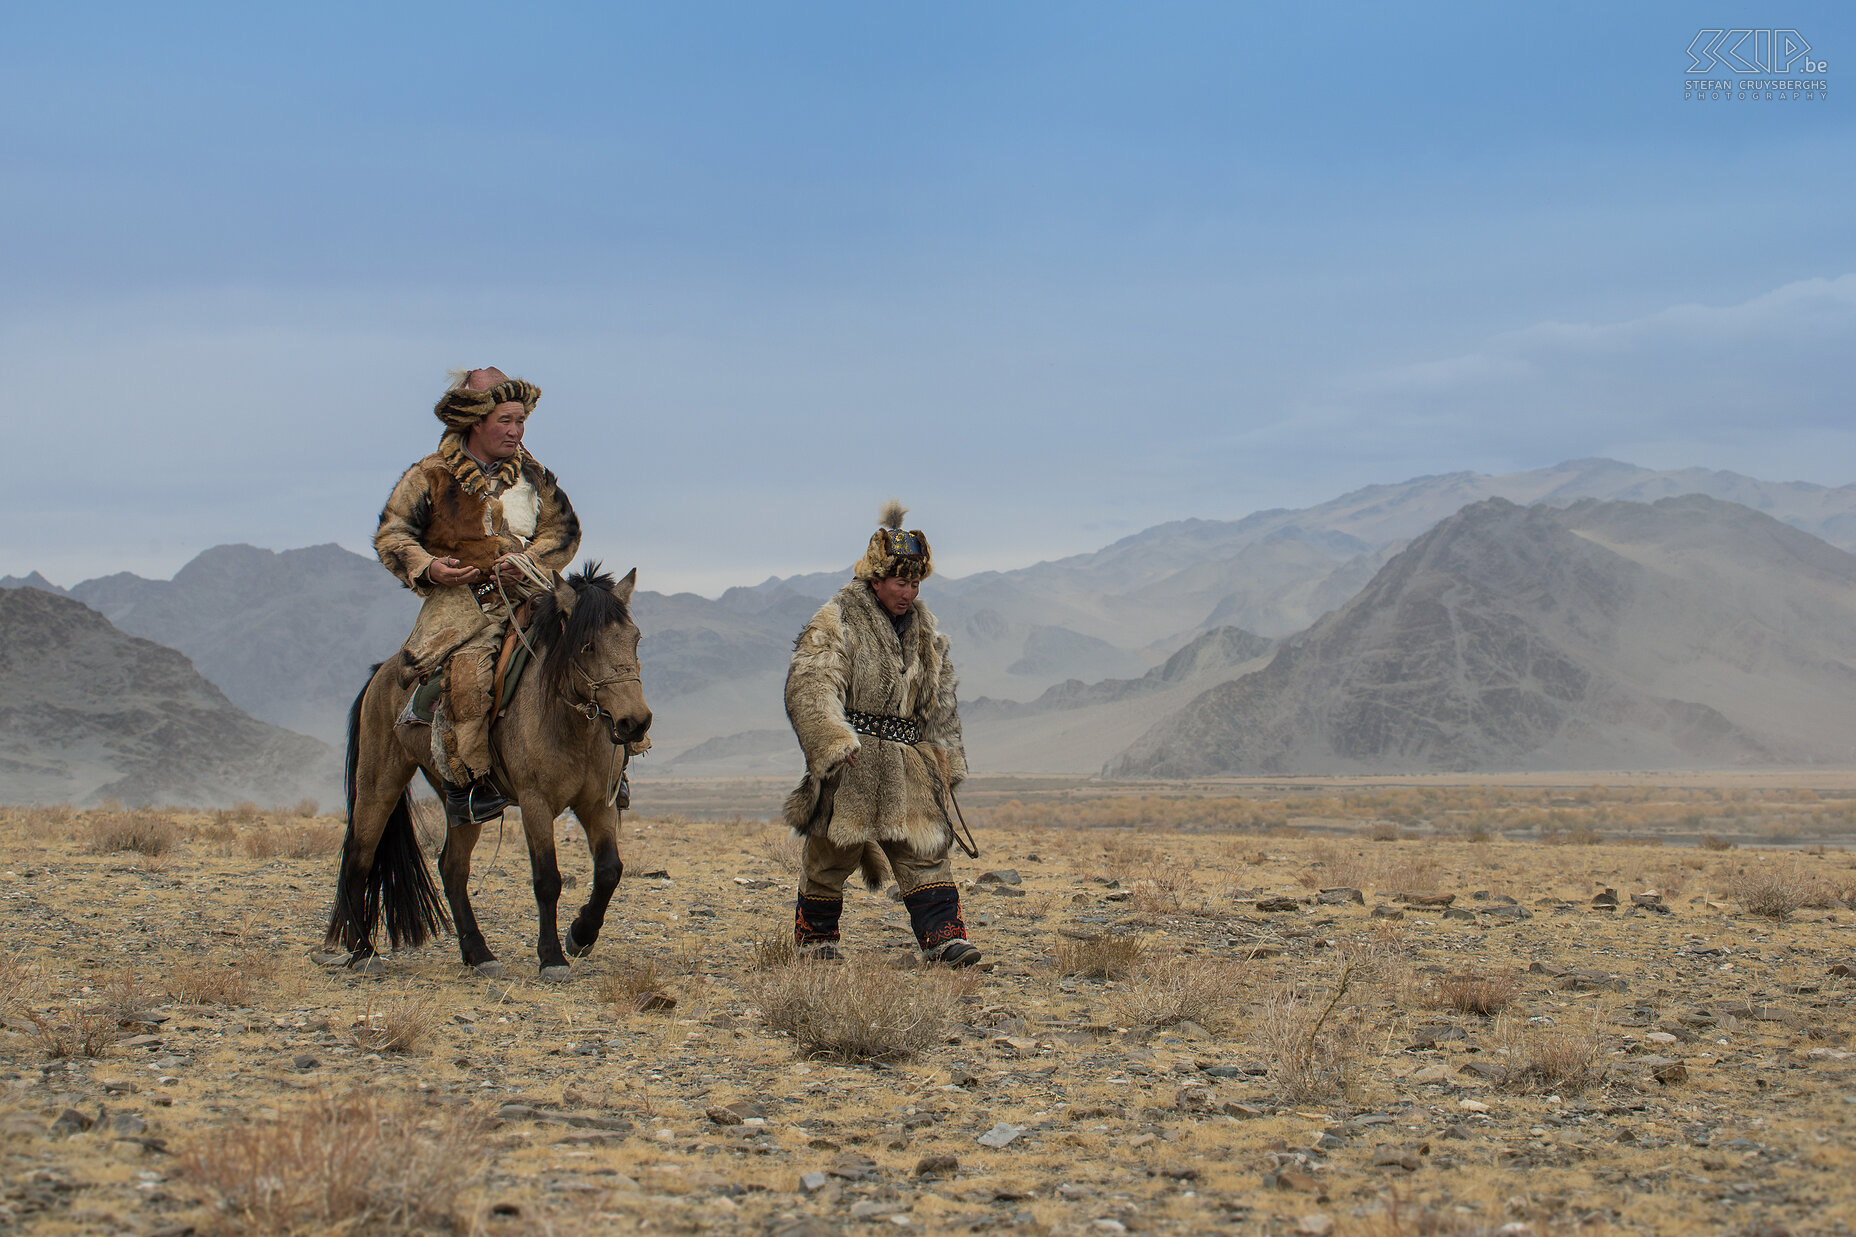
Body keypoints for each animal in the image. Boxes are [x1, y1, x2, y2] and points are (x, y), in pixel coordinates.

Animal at [324, 557, 653, 973]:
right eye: (587, 644)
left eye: (635, 639)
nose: (635, 722)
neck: (569, 722)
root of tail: (380, 673)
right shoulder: (534, 802)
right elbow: (547, 878)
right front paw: (552, 957)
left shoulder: (599, 803)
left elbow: (610, 870)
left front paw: (580, 936)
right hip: (378, 783)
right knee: (358, 858)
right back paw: (362, 951)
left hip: (461, 801)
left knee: (452, 868)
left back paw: (478, 953)